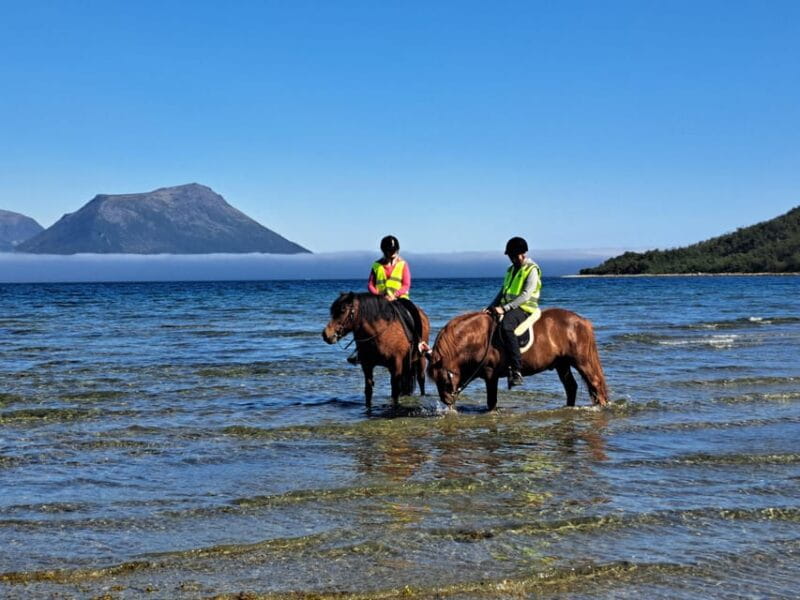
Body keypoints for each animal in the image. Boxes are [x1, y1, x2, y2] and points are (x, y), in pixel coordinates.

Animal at [427, 309, 608, 410]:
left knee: (595, 383)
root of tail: (582, 321)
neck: (478, 338)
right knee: (571, 387)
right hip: (561, 364)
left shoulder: (490, 374)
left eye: (444, 378)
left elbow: (491, 401)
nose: (447, 401)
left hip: (581, 361)